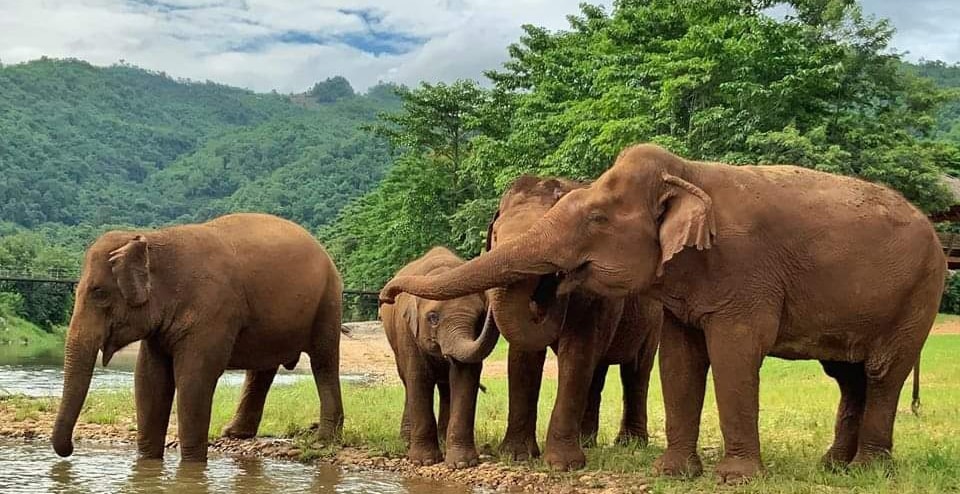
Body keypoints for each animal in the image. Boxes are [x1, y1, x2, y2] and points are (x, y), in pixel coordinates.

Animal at [51, 213, 344, 464]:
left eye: (99, 293)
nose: (70, 449)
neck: (153, 238)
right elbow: (149, 379)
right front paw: (147, 461)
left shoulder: (214, 309)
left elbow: (194, 378)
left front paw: (192, 464)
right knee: (262, 370)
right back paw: (234, 433)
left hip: (328, 302)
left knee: (323, 362)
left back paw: (324, 439)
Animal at [376, 247, 498, 466]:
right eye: (433, 318)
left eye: (479, 318)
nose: (385, 298)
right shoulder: (407, 331)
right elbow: (419, 378)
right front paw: (424, 461)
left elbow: (465, 377)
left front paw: (462, 464)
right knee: (408, 381)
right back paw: (407, 440)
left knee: (446, 387)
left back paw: (442, 438)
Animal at [488, 176, 660, 468]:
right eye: (496, 236)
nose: (557, 283)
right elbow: (523, 358)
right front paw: (516, 456)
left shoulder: (594, 291)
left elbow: (577, 351)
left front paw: (562, 465)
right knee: (597, 372)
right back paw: (587, 441)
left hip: (654, 318)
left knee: (636, 370)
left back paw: (630, 443)